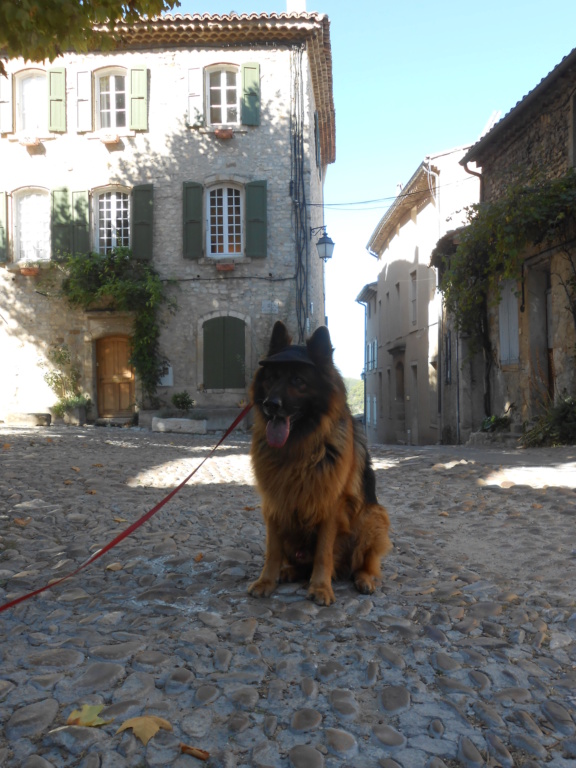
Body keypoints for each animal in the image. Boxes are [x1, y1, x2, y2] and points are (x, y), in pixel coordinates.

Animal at [248, 320, 392, 604]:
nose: (271, 404)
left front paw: (321, 587)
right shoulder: (274, 503)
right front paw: (267, 580)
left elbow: (324, 552)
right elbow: (272, 549)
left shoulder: (330, 505)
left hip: (374, 518)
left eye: (298, 381)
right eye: (272, 378)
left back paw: (363, 579)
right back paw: (289, 572)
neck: (298, 447)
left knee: (363, 564)